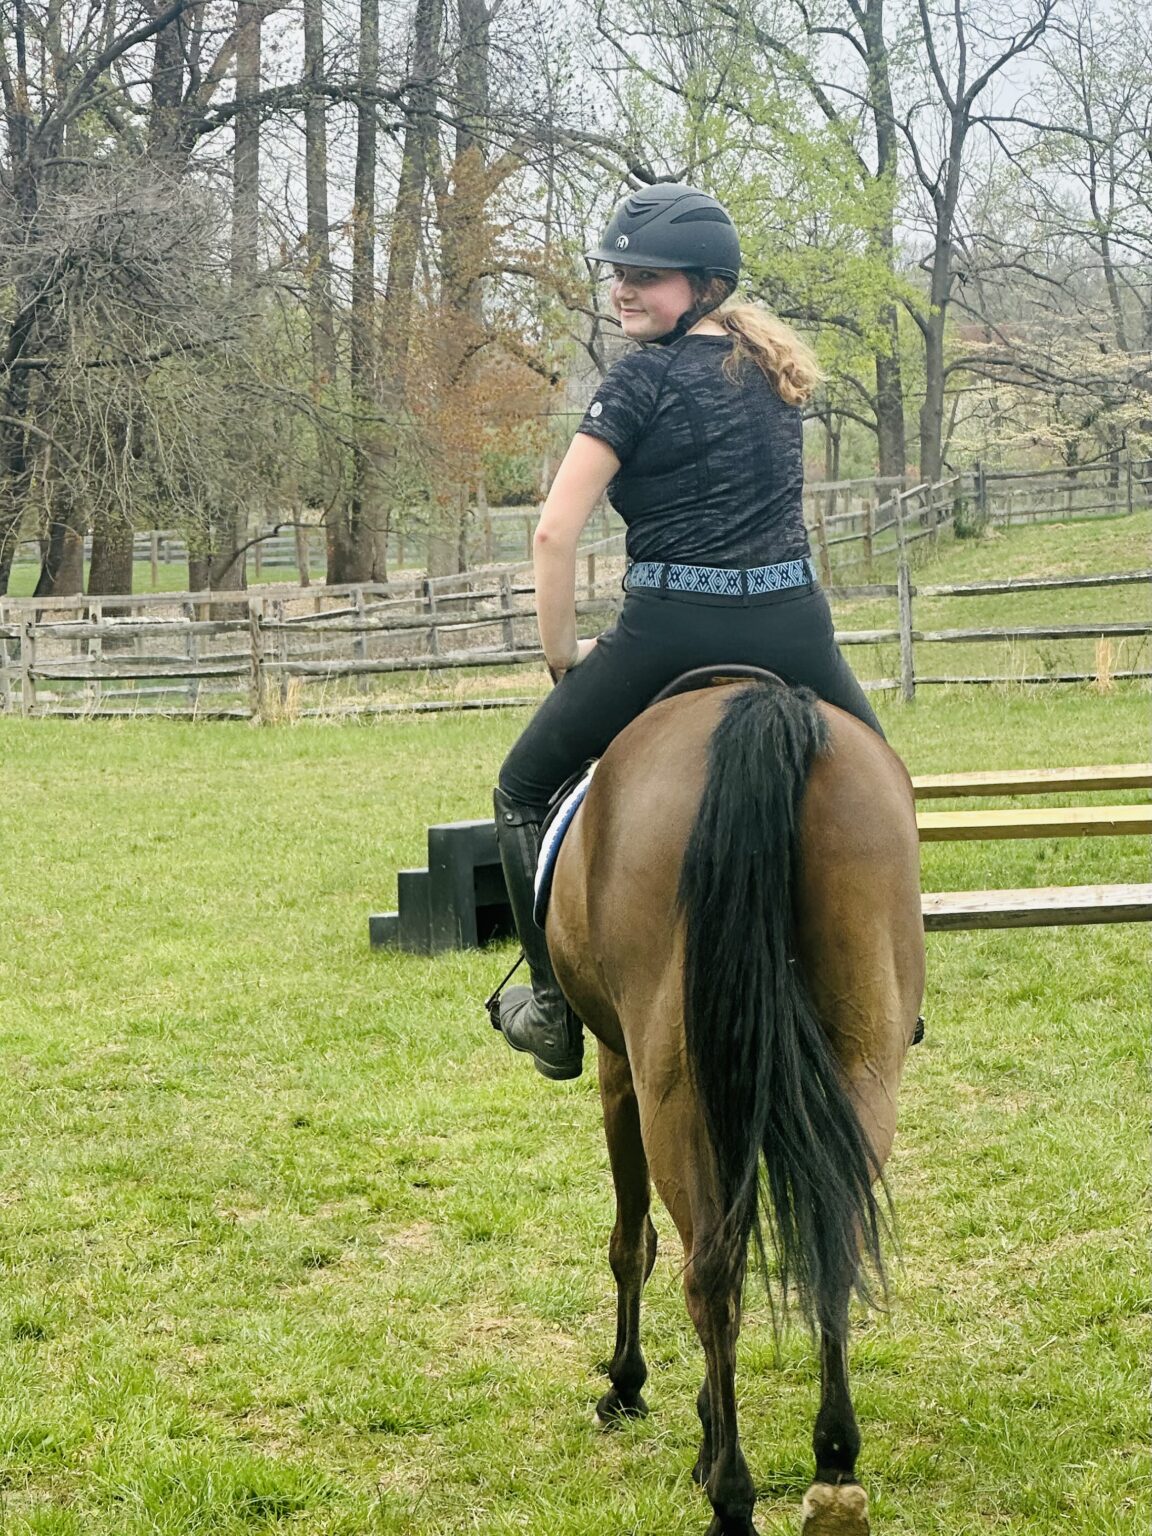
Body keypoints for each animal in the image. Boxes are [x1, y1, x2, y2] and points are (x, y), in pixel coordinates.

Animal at [543, 676, 925, 1536]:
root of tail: (765, 711)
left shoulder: (618, 1072)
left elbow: (633, 1242)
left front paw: (628, 1387)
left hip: (670, 1085)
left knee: (709, 1276)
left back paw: (731, 1495)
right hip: (862, 1061)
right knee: (833, 1242)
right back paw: (835, 1469)